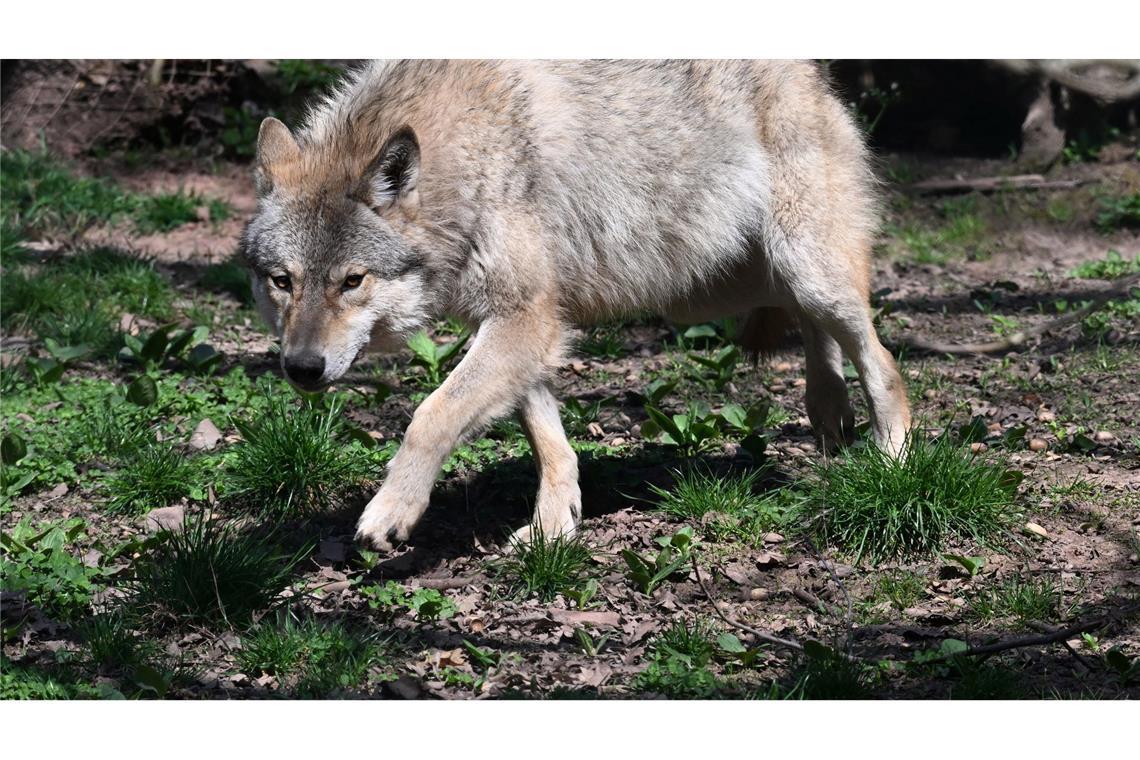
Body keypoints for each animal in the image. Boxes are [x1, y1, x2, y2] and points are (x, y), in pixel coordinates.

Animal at [240, 60, 911, 550]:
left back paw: (892, 461)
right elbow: (547, 439)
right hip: (713, 289)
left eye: (352, 281)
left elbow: (431, 415)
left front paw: (392, 510)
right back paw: (828, 411)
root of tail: (809, 73)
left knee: (881, 359)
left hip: (800, 270)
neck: (468, 159)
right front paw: (553, 526)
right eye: (282, 281)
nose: (301, 368)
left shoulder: (526, 318)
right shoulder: (527, 325)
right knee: (811, 325)